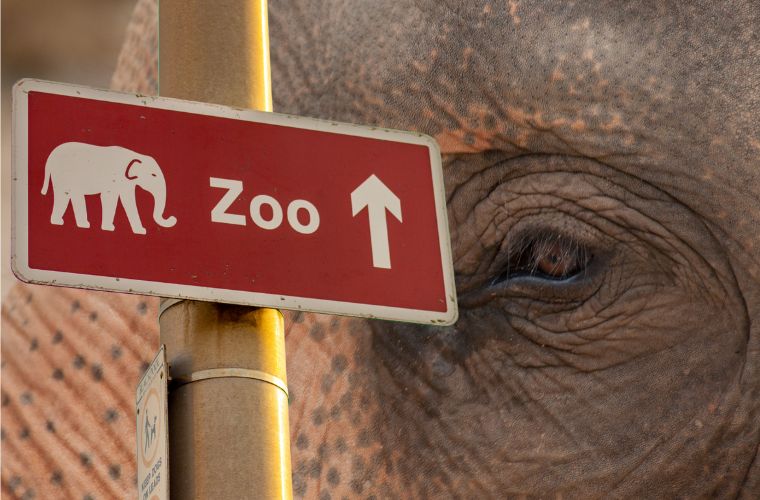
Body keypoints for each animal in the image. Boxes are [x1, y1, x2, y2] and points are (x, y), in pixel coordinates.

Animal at [41, 141, 177, 234]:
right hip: (61, 175)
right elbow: (109, 197)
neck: (135, 155)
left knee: (73, 195)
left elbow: (128, 200)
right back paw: (61, 222)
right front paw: (109, 228)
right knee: (63, 195)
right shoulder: (114, 176)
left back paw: (81, 224)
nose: (172, 218)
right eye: (153, 175)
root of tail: (49, 159)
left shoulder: (126, 181)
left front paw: (140, 231)